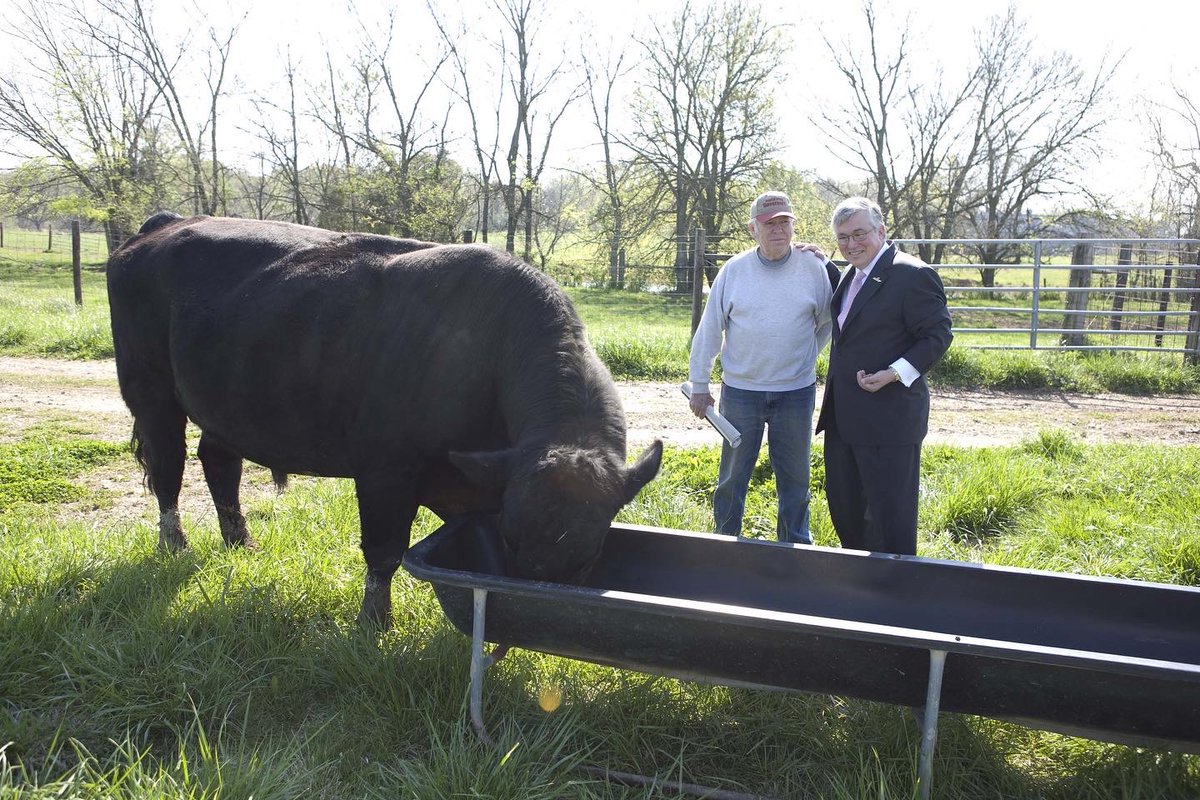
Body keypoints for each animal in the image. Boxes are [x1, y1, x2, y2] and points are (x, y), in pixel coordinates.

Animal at [106, 215, 662, 628]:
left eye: (589, 554)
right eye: (510, 538)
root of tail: (165, 224)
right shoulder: (386, 470)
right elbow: (384, 551)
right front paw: (373, 624)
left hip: (226, 404)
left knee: (219, 463)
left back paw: (241, 543)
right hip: (150, 392)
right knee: (169, 471)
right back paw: (174, 546)